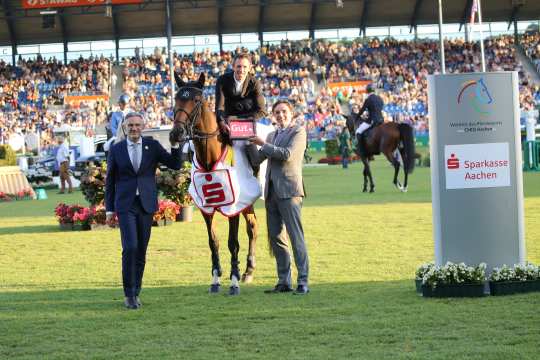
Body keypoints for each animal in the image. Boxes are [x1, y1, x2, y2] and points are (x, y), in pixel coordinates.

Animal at [172, 72, 258, 296]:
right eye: (176, 98)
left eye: (196, 100)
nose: (176, 133)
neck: (210, 157)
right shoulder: (206, 208)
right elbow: (213, 242)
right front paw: (215, 278)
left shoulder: (234, 207)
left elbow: (233, 243)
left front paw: (234, 281)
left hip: (248, 202)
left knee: (252, 229)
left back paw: (248, 270)